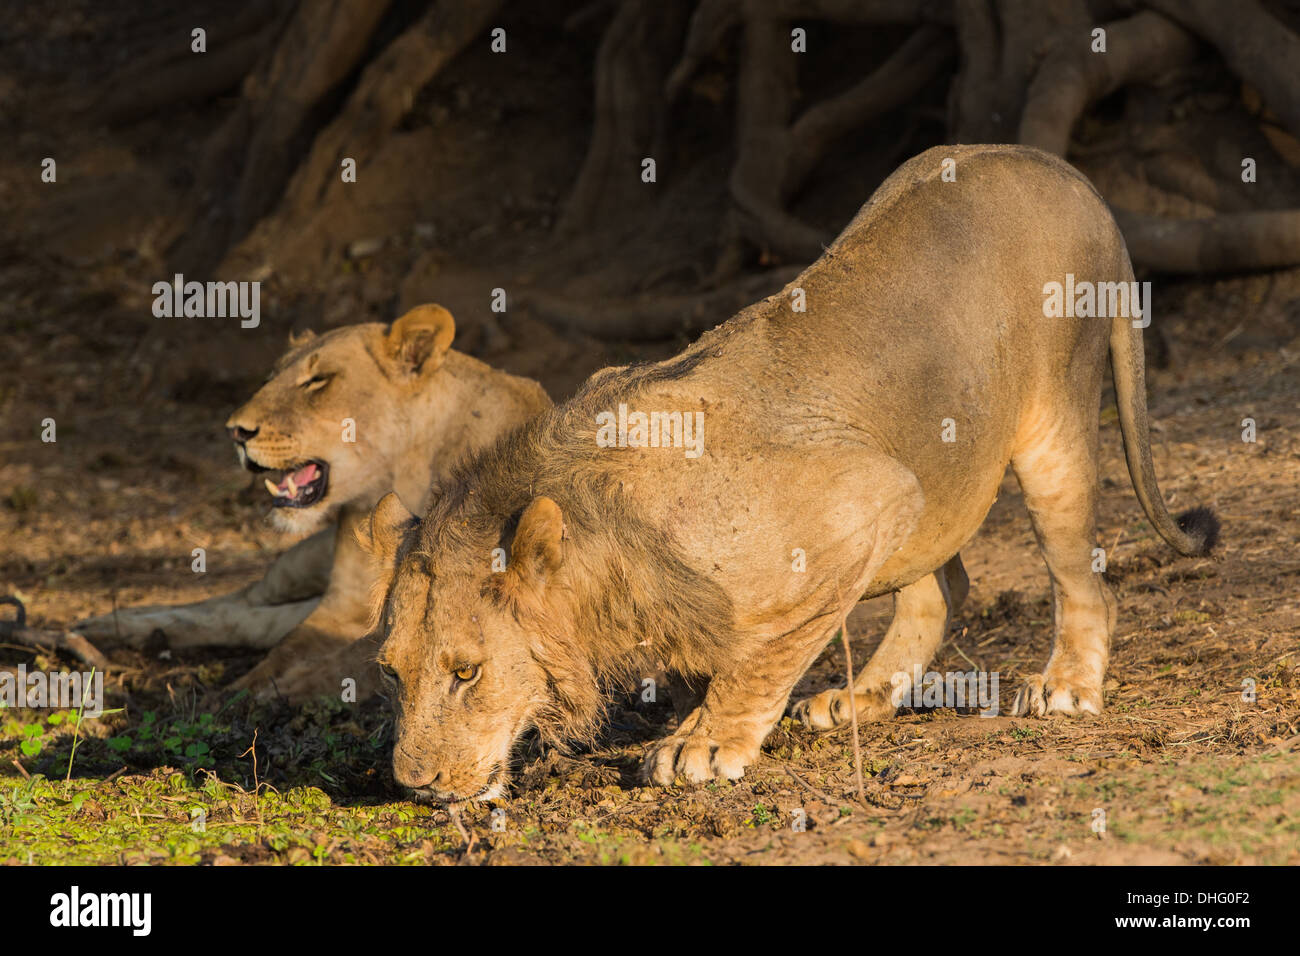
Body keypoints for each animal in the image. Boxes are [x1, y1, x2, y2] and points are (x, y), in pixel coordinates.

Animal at [74, 306, 553, 702]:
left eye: (317, 381)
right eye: (270, 377)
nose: (236, 431)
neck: (404, 475)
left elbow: (345, 658)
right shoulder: (341, 606)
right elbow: (288, 649)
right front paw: (243, 694)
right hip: (296, 564)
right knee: (234, 605)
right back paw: (102, 627)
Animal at [361, 143, 1211, 801]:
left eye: (467, 672)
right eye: (391, 674)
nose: (416, 786)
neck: (603, 540)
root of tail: (1058, 166)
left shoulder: (866, 496)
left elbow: (759, 655)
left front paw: (705, 743)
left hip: (1052, 425)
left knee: (1079, 577)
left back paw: (1069, 685)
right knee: (942, 584)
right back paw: (863, 698)